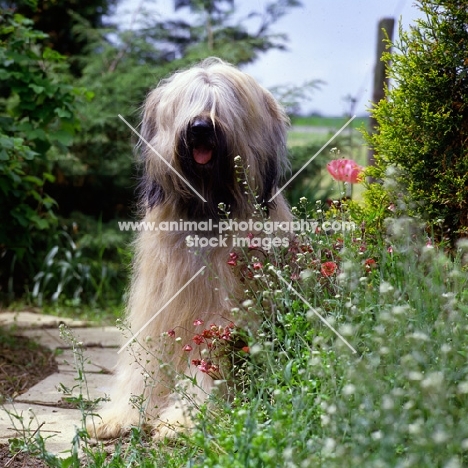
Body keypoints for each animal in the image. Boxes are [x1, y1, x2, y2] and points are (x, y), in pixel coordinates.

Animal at [88, 57, 292, 438]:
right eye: (189, 101)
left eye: (222, 103)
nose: (199, 128)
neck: (206, 207)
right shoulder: (156, 309)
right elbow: (142, 365)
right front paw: (122, 414)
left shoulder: (220, 314)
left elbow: (206, 360)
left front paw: (183, 418)